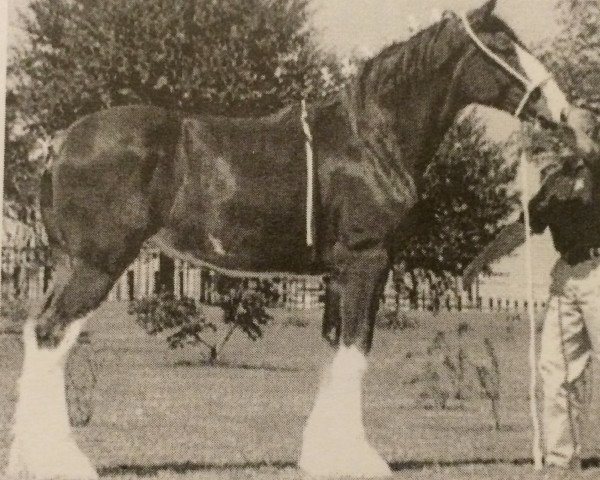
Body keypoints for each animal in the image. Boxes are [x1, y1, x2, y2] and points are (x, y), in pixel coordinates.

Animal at [4, 1, 596, 478]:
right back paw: (62, 462)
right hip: (97, 265)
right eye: (504, 46)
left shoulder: (337, 274)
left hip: (74, 264)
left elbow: (335, 351)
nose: (563, 111)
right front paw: (360, 459)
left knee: (41, 334)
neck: (369, 139)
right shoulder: (366, 262)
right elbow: (356, 350)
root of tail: (61, 142)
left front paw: (322, 456)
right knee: (52, 336)